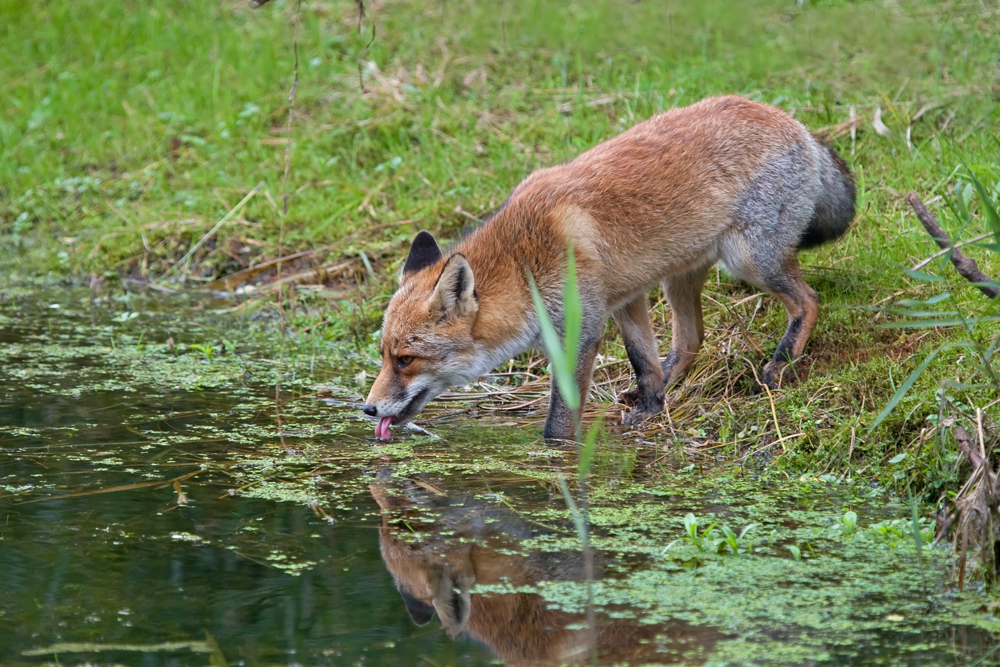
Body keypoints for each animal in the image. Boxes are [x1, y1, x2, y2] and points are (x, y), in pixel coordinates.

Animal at [364, 94, 856, 438]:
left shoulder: (581, 329)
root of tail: (793, 122)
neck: (525, 261)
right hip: (678, 278)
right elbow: (643, 361)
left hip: (750, 261)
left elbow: (561, 416)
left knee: (808, 300)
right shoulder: (625, 299)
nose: (367, 409)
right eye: (385, 356)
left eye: (406, 360)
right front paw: (651, 405)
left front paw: (560, 451)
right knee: (690, 340)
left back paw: (781, 364)